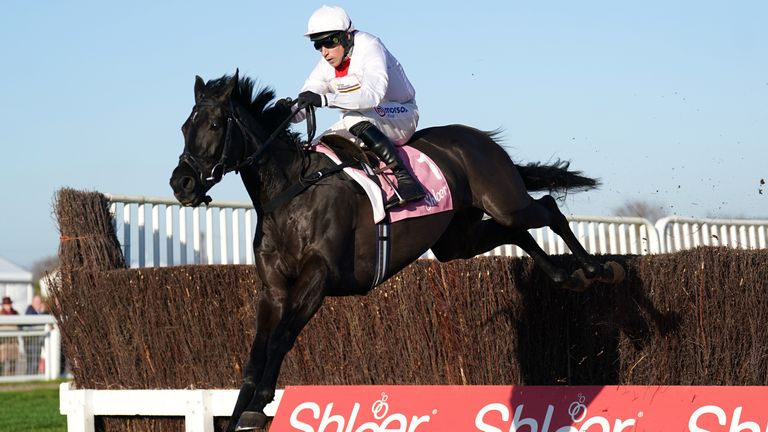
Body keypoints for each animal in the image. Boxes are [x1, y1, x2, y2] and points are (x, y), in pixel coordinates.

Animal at [170, 72, 624, 430]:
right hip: (458, 238)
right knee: (516, 233)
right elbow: (254, 356)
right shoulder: (274, 290)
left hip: (504, 200)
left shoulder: (319, 277)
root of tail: (478, 137)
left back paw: (599, 270)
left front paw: (259, 405)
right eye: (185, 126)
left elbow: (282, 338)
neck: (291, 193)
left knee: (547, 208)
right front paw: (240, 410)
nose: (182, 183)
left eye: (215, 124)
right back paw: (566, 275)